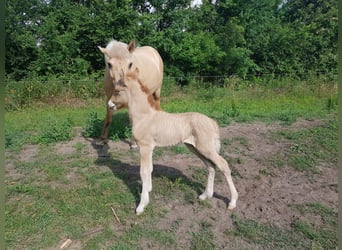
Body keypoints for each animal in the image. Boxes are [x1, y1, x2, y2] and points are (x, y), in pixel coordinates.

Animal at [109, 70, 238, 213]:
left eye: (117, 90)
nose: (109, 105)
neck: (145, 117)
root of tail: (212, 122)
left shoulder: (145, 147)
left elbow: (144, 171)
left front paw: (142, 205)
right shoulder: (149, 148)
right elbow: (150, 169)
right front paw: (149, 190)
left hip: (205, 148)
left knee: (223, 165)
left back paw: (232, 202)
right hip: (195, 148)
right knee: (211, 167)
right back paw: (205, 195)